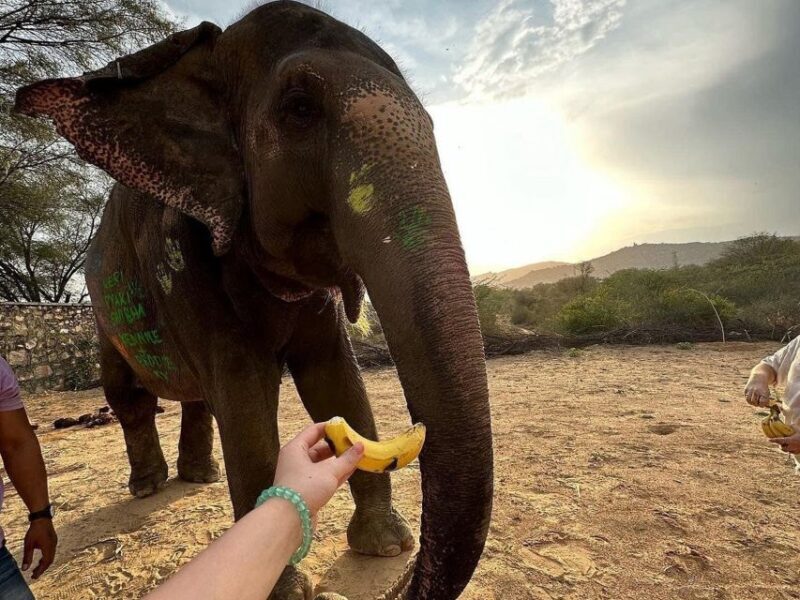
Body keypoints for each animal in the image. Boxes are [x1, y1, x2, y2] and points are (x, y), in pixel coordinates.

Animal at [14, 2, 493, 599]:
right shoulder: (183, 259)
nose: (405, 576)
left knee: (197, 397)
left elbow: (336, 379)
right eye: (300, 109)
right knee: (130, 396)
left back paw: (199, 477)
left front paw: (384, 545)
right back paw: (149, 487)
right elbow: (245, 403)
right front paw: (286, 588)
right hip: (104, 315)